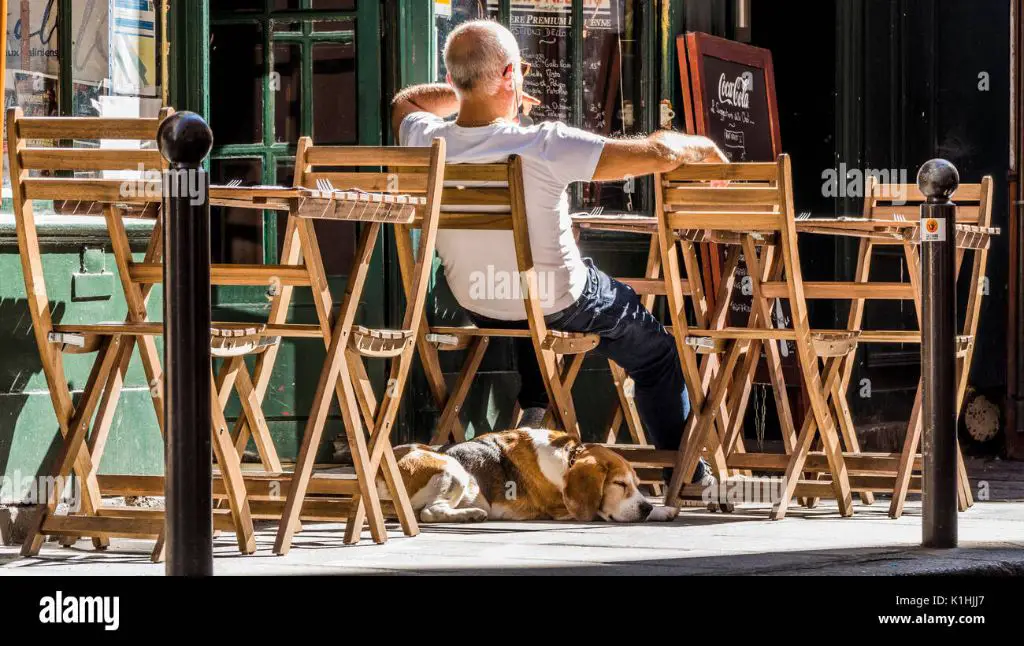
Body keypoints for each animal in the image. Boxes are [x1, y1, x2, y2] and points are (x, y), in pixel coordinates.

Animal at [376, 429, 679, 524]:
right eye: (618, 484)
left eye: (637, 485)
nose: (646, 507)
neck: (568, 457)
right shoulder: (560, 509)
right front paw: (659, 511)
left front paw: (662, 508)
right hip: (452, 468)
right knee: (429, 513)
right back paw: (470, 514)